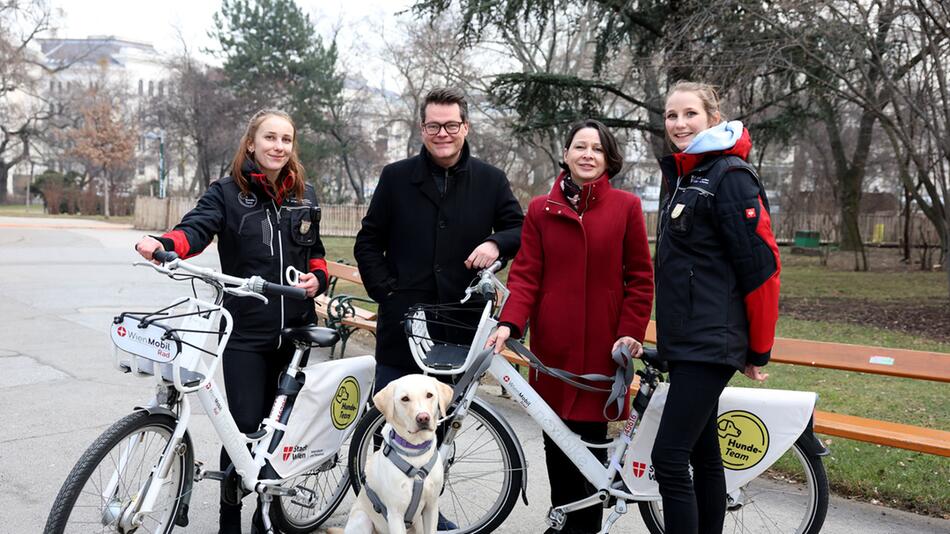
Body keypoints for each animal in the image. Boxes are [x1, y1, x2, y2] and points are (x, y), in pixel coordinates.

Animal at [338, 376, 454, 534]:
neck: (415, 452)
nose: (423, 418)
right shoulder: (395, 514)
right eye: (405, 399)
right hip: (362, 518)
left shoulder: (431, 507)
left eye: (429, 395)